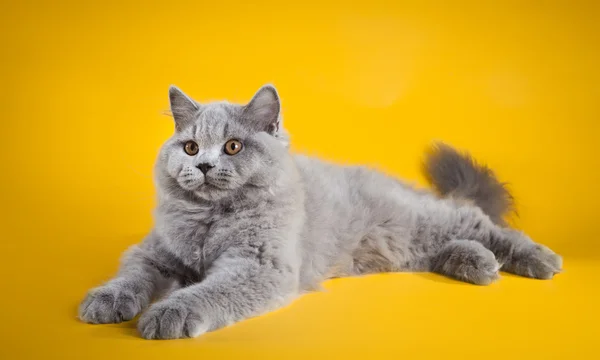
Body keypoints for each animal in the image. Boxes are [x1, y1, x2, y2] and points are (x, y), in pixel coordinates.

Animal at [78, 85, 564, 340]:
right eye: (191, 147)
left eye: (232, 146)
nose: (203, 166)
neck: (211, 223)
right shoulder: (154, 253)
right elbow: (131, 275)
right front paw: (106, 300)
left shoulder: (260, 266)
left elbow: (204, 292)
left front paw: (167, 314)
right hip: (404, 248)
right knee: (450, 246)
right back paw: (479, 265)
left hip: (425, 219)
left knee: (483, 224)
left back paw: (538, 260)